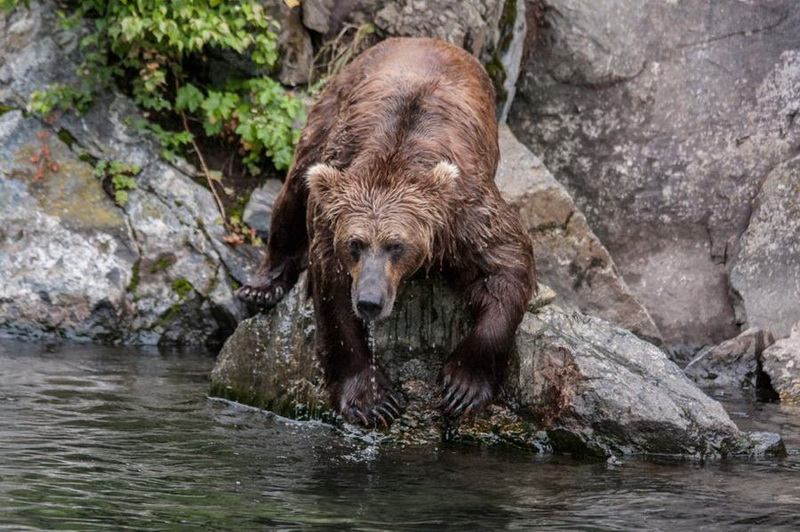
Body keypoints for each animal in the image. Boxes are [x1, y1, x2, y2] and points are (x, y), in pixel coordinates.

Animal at [238, 36, 536, 428]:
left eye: (397, 245)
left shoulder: (464, 214)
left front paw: (462, 387)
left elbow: (506, 265)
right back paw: (260, 288)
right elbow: (334, 299)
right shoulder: (332, 218)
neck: (396, 156)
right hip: (328, 111)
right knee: (295, 187)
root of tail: (420, 38)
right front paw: (373, 400)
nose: (370, 300)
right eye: (355, 243)